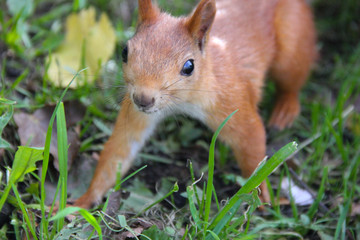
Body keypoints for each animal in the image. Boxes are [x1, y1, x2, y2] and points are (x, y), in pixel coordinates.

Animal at [72, 0, 316, 208]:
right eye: (125, 52)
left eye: (189, 66)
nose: (143, 99)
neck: (183, 101)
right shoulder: (137, 112)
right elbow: (119, 149)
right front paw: (83, 201)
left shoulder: (231, 101)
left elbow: (252, 141)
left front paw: (261, 193)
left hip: (291, 45)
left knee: (291, 82)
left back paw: (285, 109)